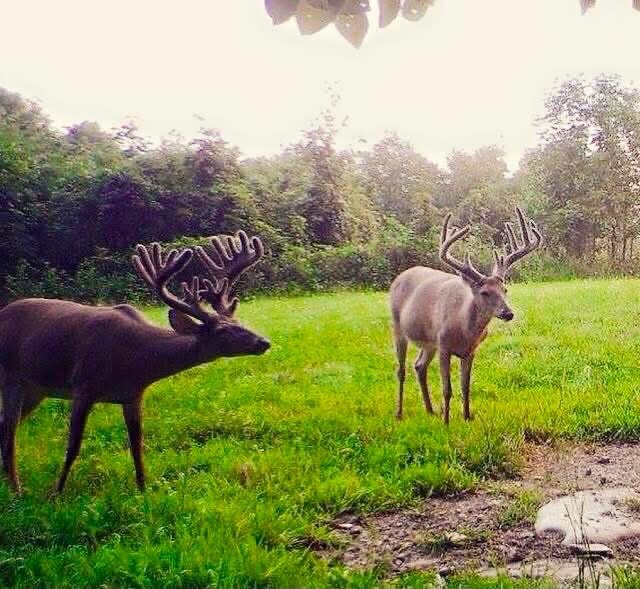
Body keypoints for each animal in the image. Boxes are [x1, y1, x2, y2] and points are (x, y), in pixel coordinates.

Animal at [0, 230, 271, 494]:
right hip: (11, 376)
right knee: (10, 431)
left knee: (5, 425)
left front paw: (143, 490)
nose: (264, 342)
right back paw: (17, 489)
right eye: (222, 331)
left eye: (238, 322)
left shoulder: (133, 394)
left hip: (36, 389)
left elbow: (137, 447)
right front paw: (57, 493)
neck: (135, 359)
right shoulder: (83, 385)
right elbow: (73, 446)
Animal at [390, 207, 542, 425]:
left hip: (429, 342)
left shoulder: (470, 350)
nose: (508, 313)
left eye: (505, 289)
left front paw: (467, 417)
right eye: (484, 292)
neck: (464, 327)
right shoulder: (444, 346)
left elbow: (465, 386)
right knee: (401, 370)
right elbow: (447, 389)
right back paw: (400, 413)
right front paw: (446, 422)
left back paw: (430, 410)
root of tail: (399, 277)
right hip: (398, 326)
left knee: (419, 366)